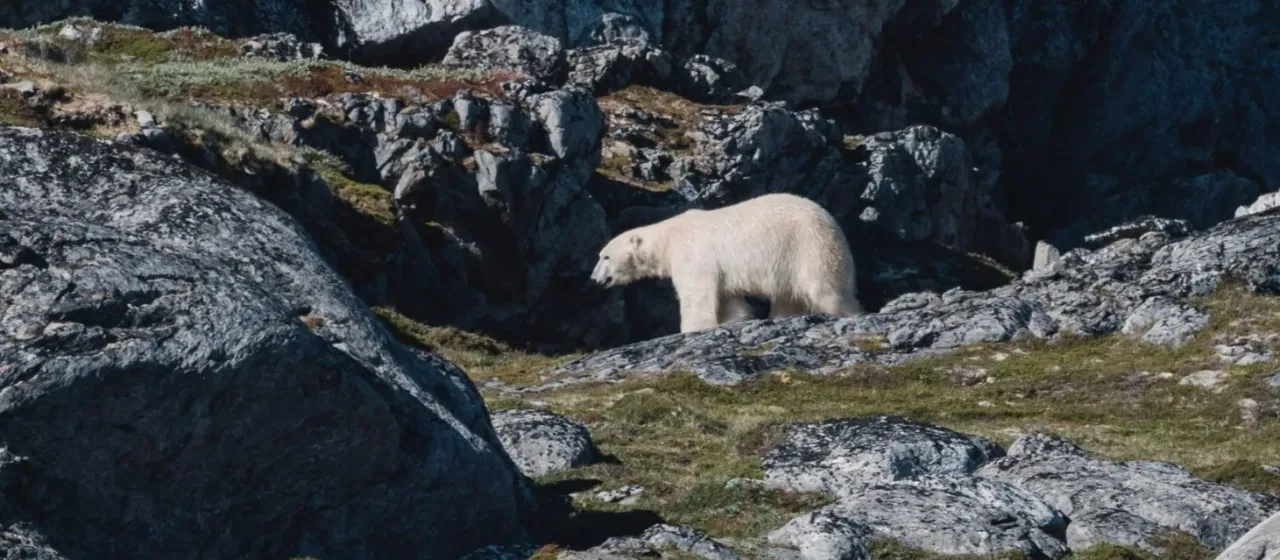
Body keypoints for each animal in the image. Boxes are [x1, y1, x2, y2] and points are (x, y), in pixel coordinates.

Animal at [589, 193, 862, 334]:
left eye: (605, 256)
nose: (594, 279)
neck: (669, 238)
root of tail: (834, 224)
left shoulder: (693, 255)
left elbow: (696, 295)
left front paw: (693, 328)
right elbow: (729, 299)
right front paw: (735, 320)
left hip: (809, 246)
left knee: (825, 289)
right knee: (788, 295)